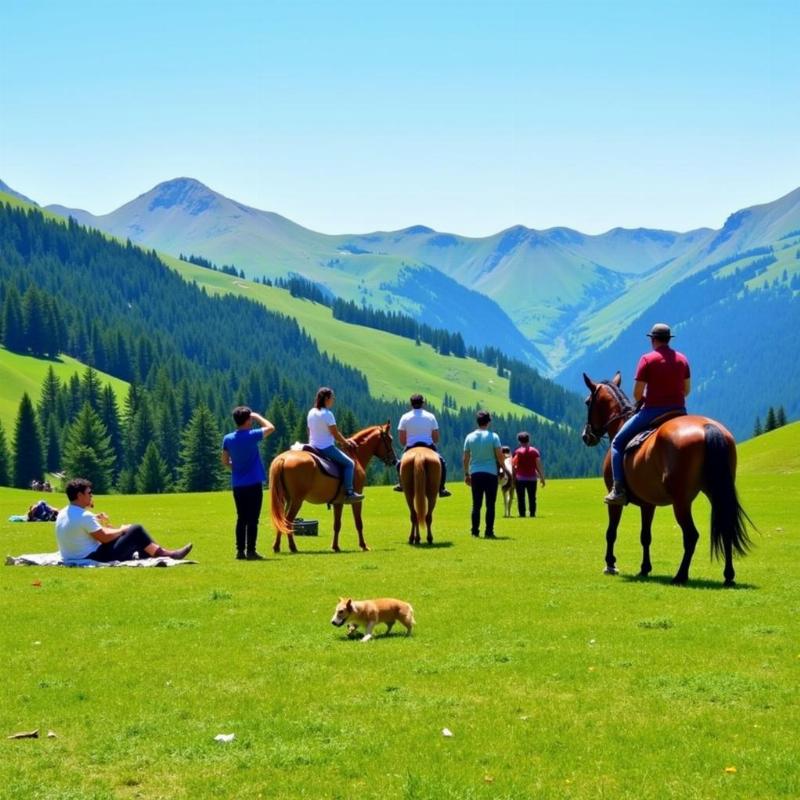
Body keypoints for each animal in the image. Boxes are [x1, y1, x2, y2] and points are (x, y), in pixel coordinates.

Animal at [268, 422, 396, 552]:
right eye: (389, 439)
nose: (394, 460)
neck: (355, 457)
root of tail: (283, 458)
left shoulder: (337, 502)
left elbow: (337, 525)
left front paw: (335, 546)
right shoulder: (357, 501)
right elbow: (358, 522)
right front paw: (363, 545)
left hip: (286, 499)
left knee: (281, 520)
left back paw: (277, 546)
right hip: (296, 501)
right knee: (288, 521)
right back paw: (292, 547)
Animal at [580, 372, 752, 584]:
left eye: (587, 402)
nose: (586, 436)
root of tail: (708, 427)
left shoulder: (615, 502)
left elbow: (611, 532)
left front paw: (610, 564)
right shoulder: (648, 504)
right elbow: (645, 536)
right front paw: (644, 568)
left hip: (681, 501)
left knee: (691, 535)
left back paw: (680, 575)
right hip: (717, 493)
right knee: (725, 528)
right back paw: (728, 575)